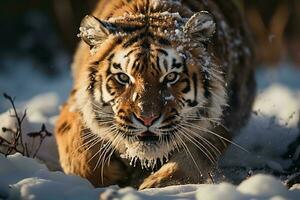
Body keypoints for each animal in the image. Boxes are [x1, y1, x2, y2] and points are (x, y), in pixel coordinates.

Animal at [54, 0, 255, 189]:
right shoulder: (75, 104)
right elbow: (75, 144)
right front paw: (109, 176)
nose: (147, 119)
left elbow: (195, 157)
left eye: (171, 77)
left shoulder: (224, 119)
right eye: (123, 77)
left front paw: (155, 184)